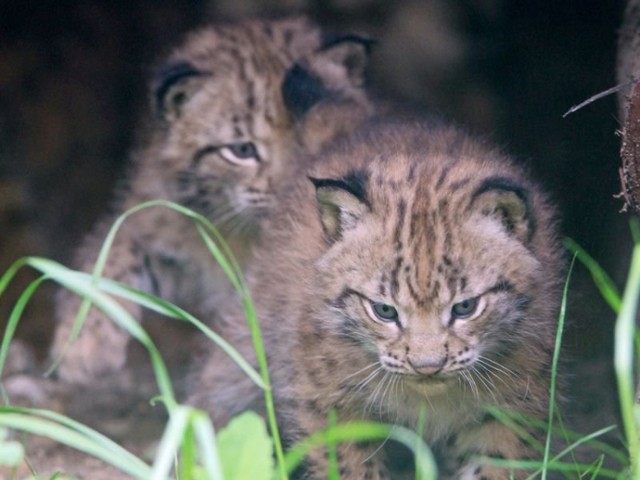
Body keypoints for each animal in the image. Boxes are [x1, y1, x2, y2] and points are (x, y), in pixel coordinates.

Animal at [191, 117, 564, 480]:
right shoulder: (328, 402)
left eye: (465, 307)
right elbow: (349, 468)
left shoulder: (512, 410)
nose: (428, 367)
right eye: (385, 311)